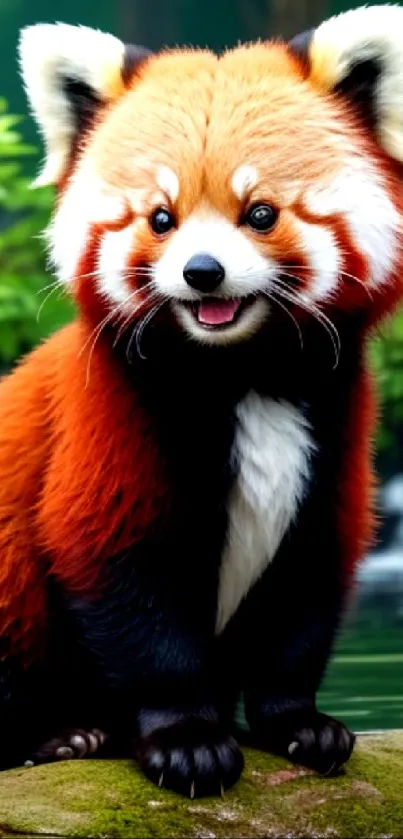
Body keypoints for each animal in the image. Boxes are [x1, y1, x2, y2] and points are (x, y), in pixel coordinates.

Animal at [0, 1, 403, 800]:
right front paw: (187, 740)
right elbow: (134, 595)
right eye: (161, 217)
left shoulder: (333, 436)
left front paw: (298, 724)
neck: (240, 374)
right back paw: (63, 736)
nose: (202, 271)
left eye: (260, 212)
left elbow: (302, 596)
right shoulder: (110, 425)